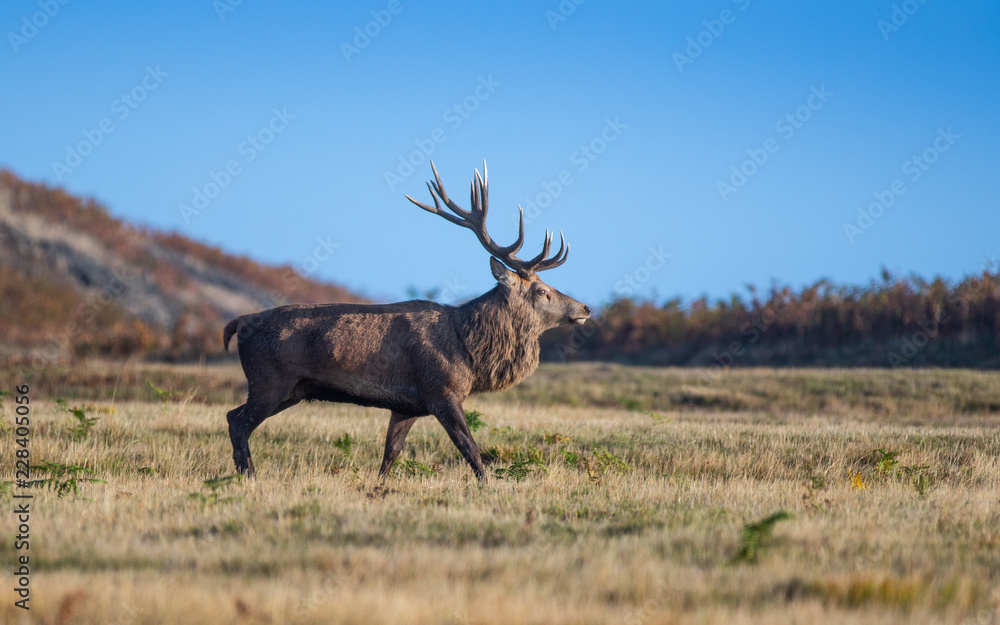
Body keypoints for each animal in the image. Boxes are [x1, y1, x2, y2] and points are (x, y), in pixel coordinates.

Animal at [222, 161, 591, 480]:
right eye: (542, 291)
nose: (585, 308)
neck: (469, 353)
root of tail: (239, 323)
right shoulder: (441, 391)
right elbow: (470, 450)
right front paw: (489, 487)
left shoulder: (407, 406)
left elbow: (390, 455)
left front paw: (378, 488)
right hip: (269, 380)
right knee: (238, 422)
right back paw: (248, 476)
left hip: (293, 390)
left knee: (231, 415)